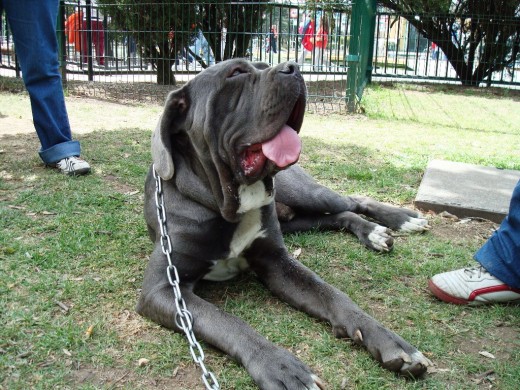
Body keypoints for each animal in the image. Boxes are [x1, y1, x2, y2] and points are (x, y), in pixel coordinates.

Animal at [137, 59, 430, 388]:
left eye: (262, 65)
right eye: (237, 73)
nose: (293, 67)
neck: (227, 204)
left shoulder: (276, 261)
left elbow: (332, 294)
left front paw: (389, 339)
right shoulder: (163, 289)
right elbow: (228, 322)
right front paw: (280, 366)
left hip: (307, 194)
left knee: (352, 201)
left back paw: (398, 220)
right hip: (294, 220)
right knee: (338, 216)